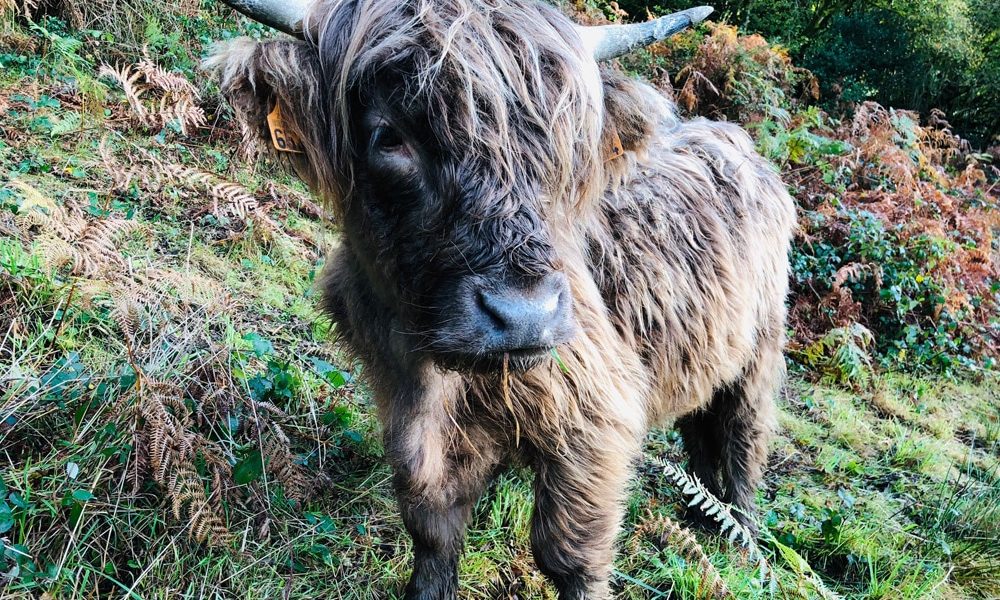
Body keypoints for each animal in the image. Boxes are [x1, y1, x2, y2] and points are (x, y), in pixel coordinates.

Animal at [207, 0, 796, 597]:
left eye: (569, 145)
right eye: (389, 136)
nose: (525, 317)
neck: (433, 371)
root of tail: (733, 137)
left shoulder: (595, 415)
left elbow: (569, 554)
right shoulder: (406, 410)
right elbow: (431, 526)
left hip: (761, 352)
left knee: (743, 439)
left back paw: (742, 537)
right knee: (700, 427)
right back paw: (702, 514)